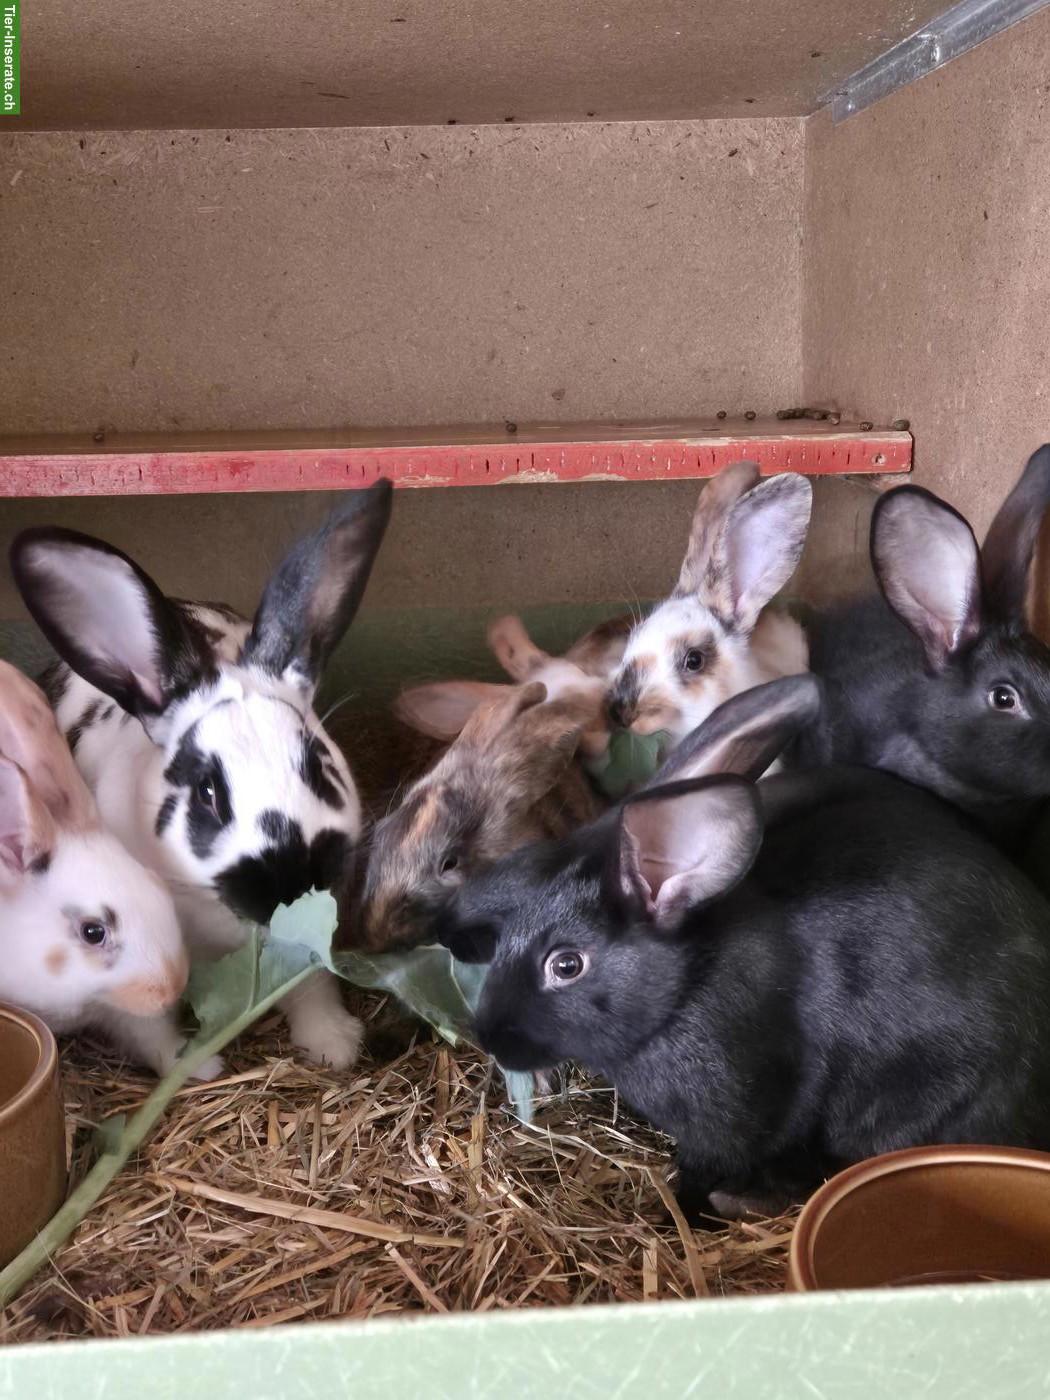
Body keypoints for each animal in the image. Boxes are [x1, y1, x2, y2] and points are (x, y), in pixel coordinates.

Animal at [435, 675, 1050, 1221]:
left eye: (567, 965)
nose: (490, 1037)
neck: (682, 992)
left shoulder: (735, 1113)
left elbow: (707, 1162)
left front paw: (681, 1215)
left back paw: (744, 1201)